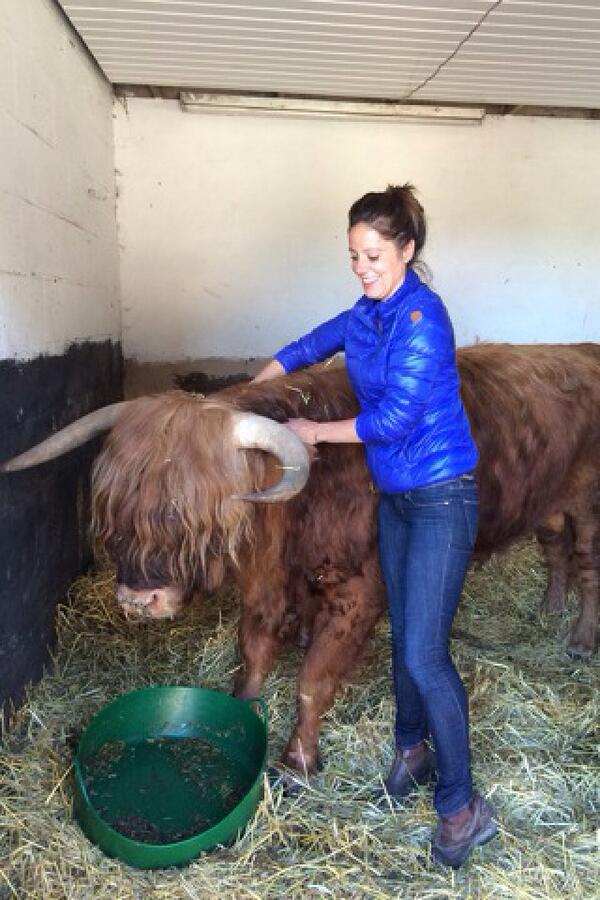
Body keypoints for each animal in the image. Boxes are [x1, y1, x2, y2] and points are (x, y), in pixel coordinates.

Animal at [1, 343, 599, 774]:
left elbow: (314, 678)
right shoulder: (267, 583)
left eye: (192, 514)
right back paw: (548, 608)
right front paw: (244, 708)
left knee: (587, 563)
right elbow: (253, 651)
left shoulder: (358, 590)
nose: (137, 597)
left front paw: (299, 757)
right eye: (117, 511)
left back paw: (578, 638)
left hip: (587, 505)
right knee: (554, 548)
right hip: (548, 505)